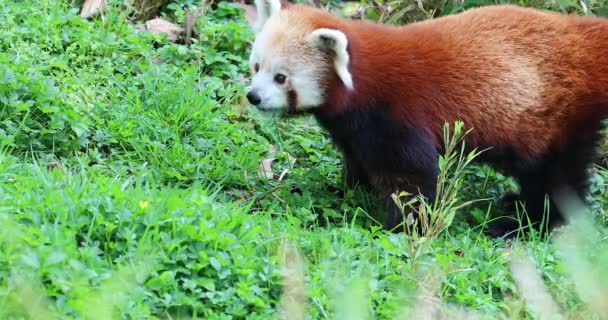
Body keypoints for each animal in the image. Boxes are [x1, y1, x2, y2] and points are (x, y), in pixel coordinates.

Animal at [246, 0, 608, 238]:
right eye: (256, 66)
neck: (364, 82)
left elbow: (412, 178)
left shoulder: (398, 117)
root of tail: (582, 36)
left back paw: (527, 224)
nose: (253, 96)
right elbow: (358, 162)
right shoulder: (354, 130)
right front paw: (346, 190)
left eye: (281, 77)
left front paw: (401, 227)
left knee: (556, 177)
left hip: (555, 117)